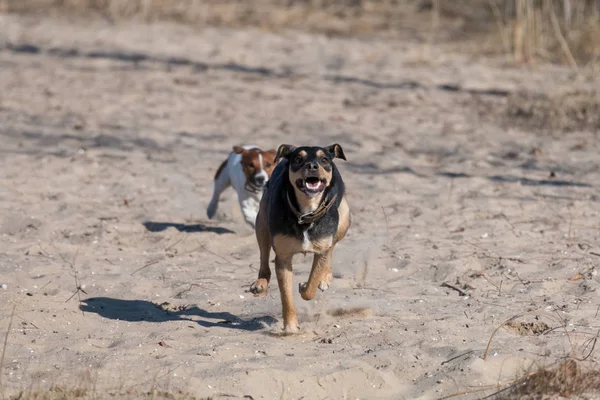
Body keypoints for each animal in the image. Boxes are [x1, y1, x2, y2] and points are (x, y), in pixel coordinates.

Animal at [250, 143, 352, 332]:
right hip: (262, 221)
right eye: (298, 159)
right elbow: (286, 297)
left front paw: (307, 284)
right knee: (264, 256)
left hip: (344, 218)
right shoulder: (283, 257)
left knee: (332, 247)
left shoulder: (323, 245)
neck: (306, 212)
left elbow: (311, 286)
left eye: (324, 159)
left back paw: (325, 277)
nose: (312, 166)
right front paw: (290, 327)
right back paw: (260, 283)